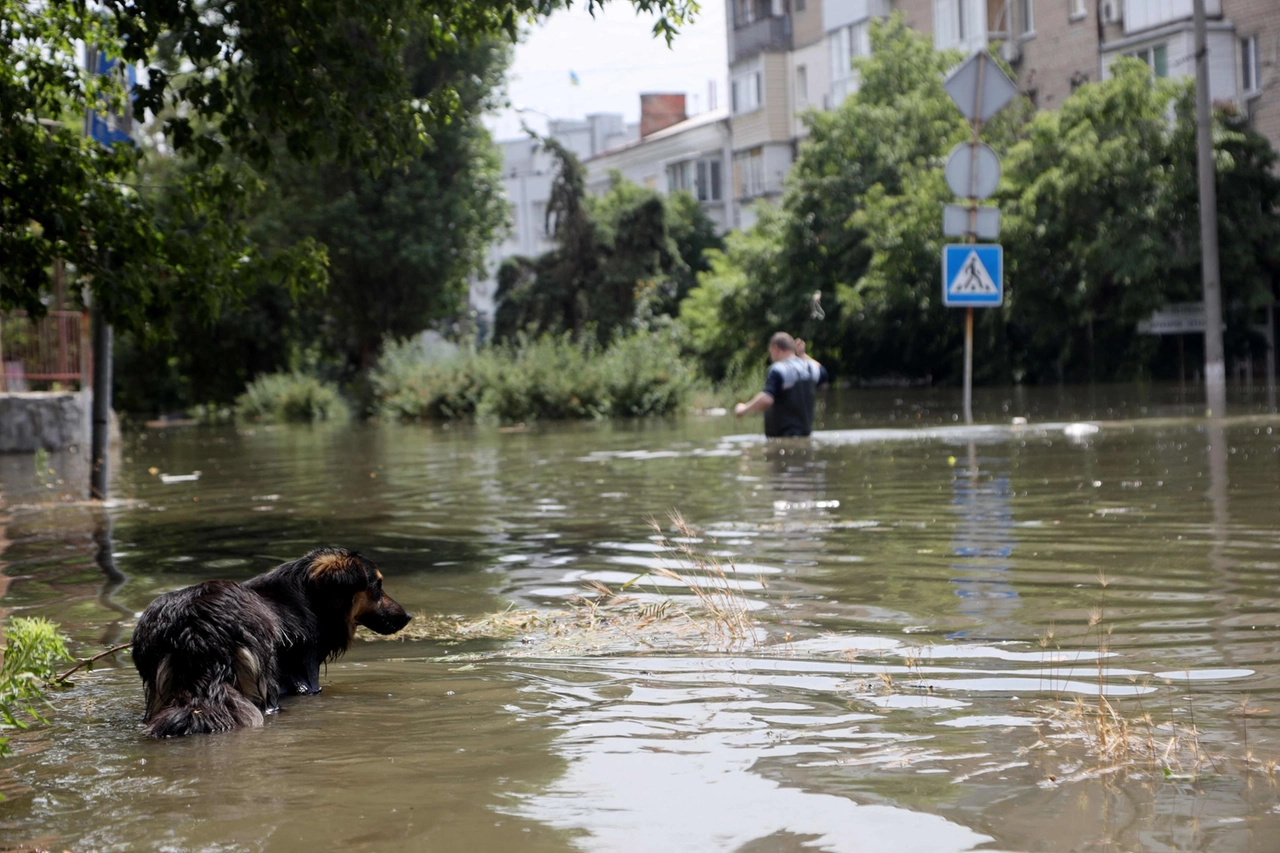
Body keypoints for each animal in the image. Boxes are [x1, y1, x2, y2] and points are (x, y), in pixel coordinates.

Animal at [131, 548, 409, 732]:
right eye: (377, 587)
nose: (408, 616)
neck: (311, 598)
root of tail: (195, 625)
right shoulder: (307, 674)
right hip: (261, 679)